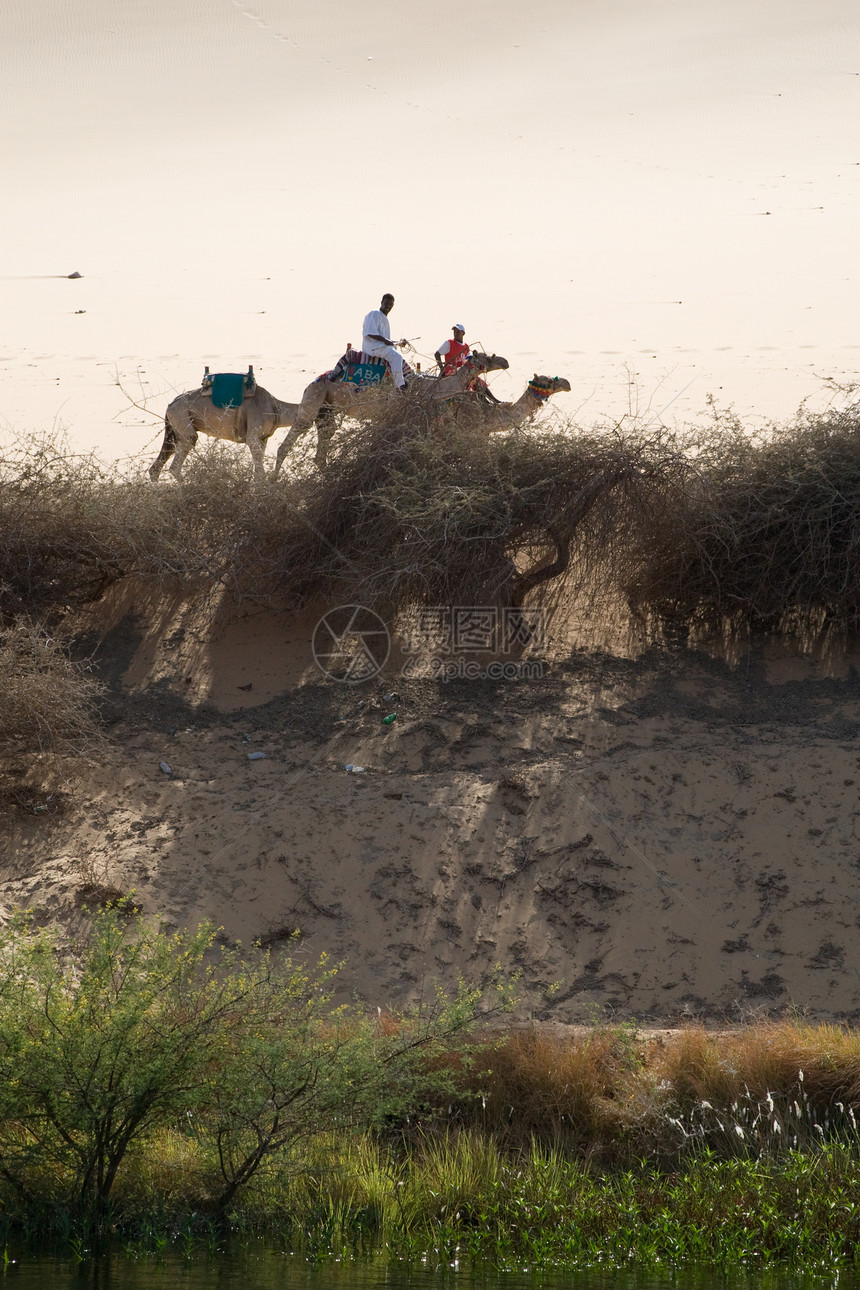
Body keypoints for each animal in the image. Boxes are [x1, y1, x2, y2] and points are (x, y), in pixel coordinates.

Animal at [151, 387, 302, 485]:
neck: (275, 409)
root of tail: (170, 405)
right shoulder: (253, 436)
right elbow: (259, 466)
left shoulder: (263, 439)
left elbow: (258, 463)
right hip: (183, 423)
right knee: (176, 464)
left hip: (173, 431)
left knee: (156, 467)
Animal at [272, 348, 508, 474]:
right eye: (487, 357)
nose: (504, 361)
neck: (421, 386)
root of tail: (312, 383)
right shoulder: (394, 410)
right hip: (313, 400)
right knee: (287, 443)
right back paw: (272, 484)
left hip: (327, 410)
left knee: (322, 448)